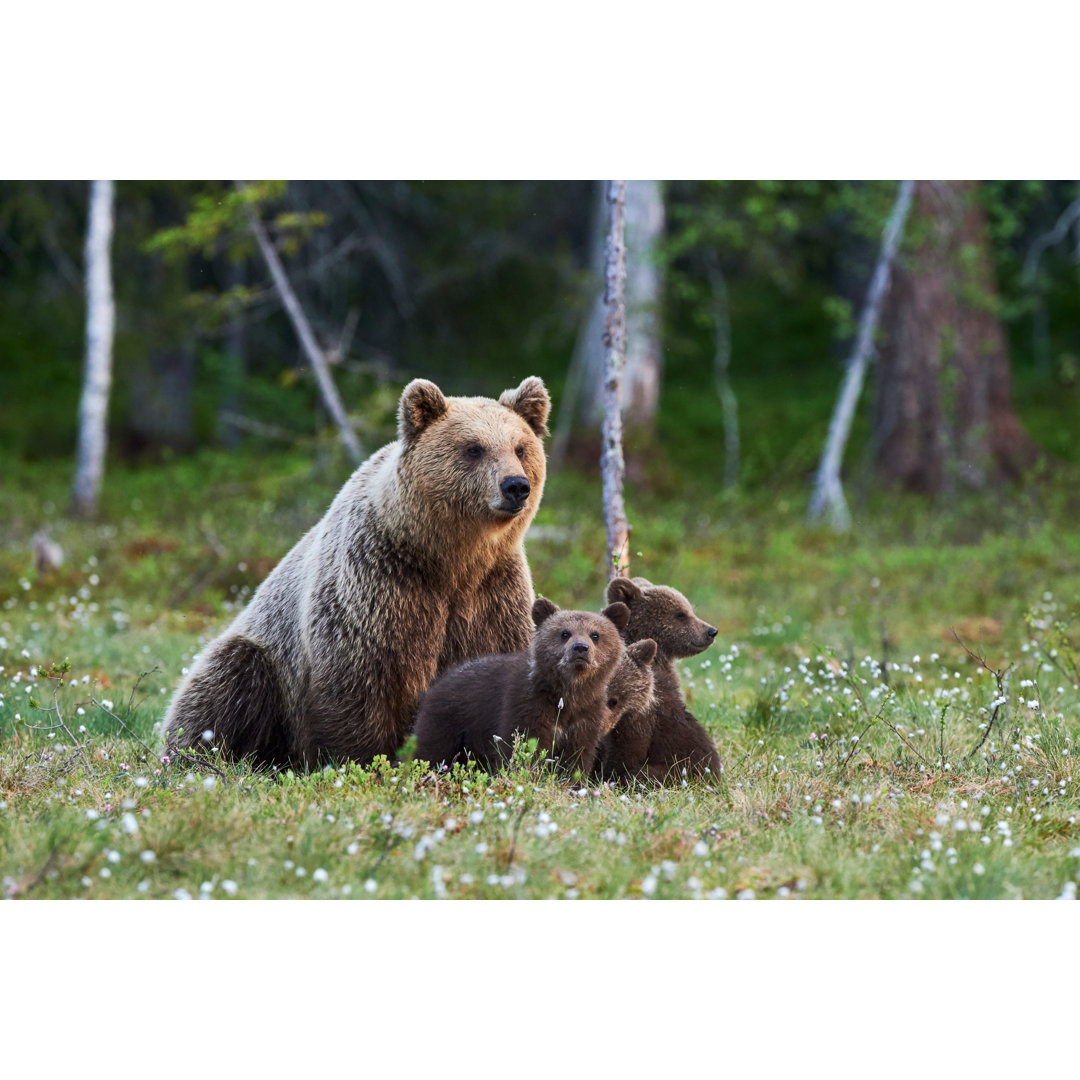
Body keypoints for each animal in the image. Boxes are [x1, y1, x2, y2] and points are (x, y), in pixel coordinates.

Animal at [162, 378, 548, 768]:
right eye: (474, 448)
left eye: (520, 447)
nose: (515, 486)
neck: (450, 560)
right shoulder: (378, 585)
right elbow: (359, 684)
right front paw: (363, 761)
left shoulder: (492, 594)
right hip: (266, 660)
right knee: (225, 684)